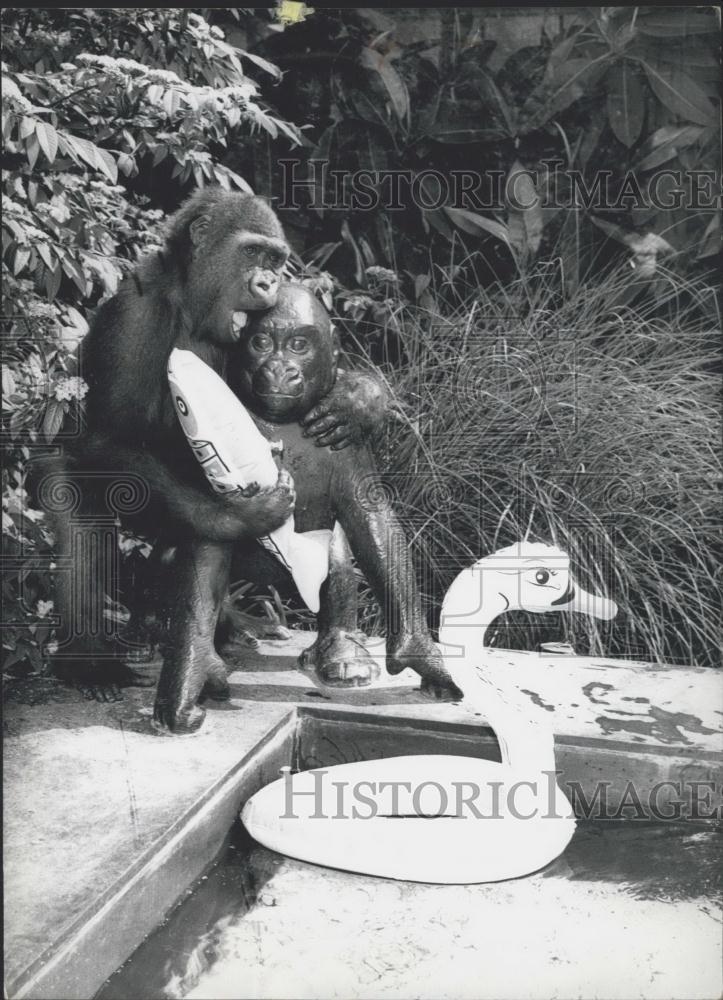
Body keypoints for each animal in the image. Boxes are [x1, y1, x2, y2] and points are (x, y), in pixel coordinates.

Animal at [42, 189, 388, 704]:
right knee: (78, 490)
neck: (189, 301)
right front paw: (235, 517)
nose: (268, 281)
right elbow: (108, 440)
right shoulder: (133, 315)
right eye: (252, 252)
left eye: (276, 260)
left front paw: (359, 399)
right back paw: (92, 660)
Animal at [155, 284, 460, 736]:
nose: (280, 369)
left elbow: (371, 520)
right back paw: (215, 632)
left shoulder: (348, 445)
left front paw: (417, 651)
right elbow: (208, 538)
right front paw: (191, 675)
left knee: (336, 558)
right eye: (262, 343)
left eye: (299, 345)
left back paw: (338, 650)